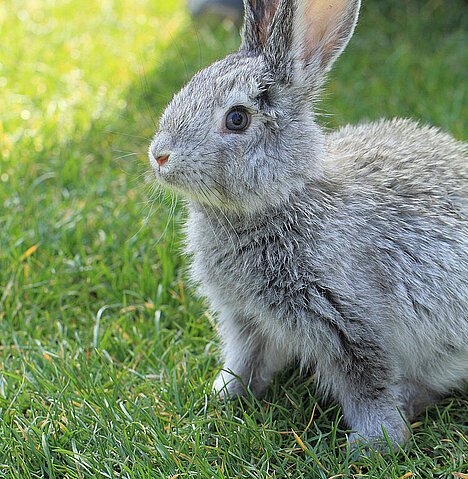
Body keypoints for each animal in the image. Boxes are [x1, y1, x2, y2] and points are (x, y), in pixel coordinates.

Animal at [147, 0, 468, 450]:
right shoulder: (244, 318)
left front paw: (375, 443)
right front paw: (221, 396)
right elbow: (244, 361)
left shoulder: (348, 322)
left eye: (237, 119)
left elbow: (368, 382)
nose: (159, 156)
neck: (279, 199)